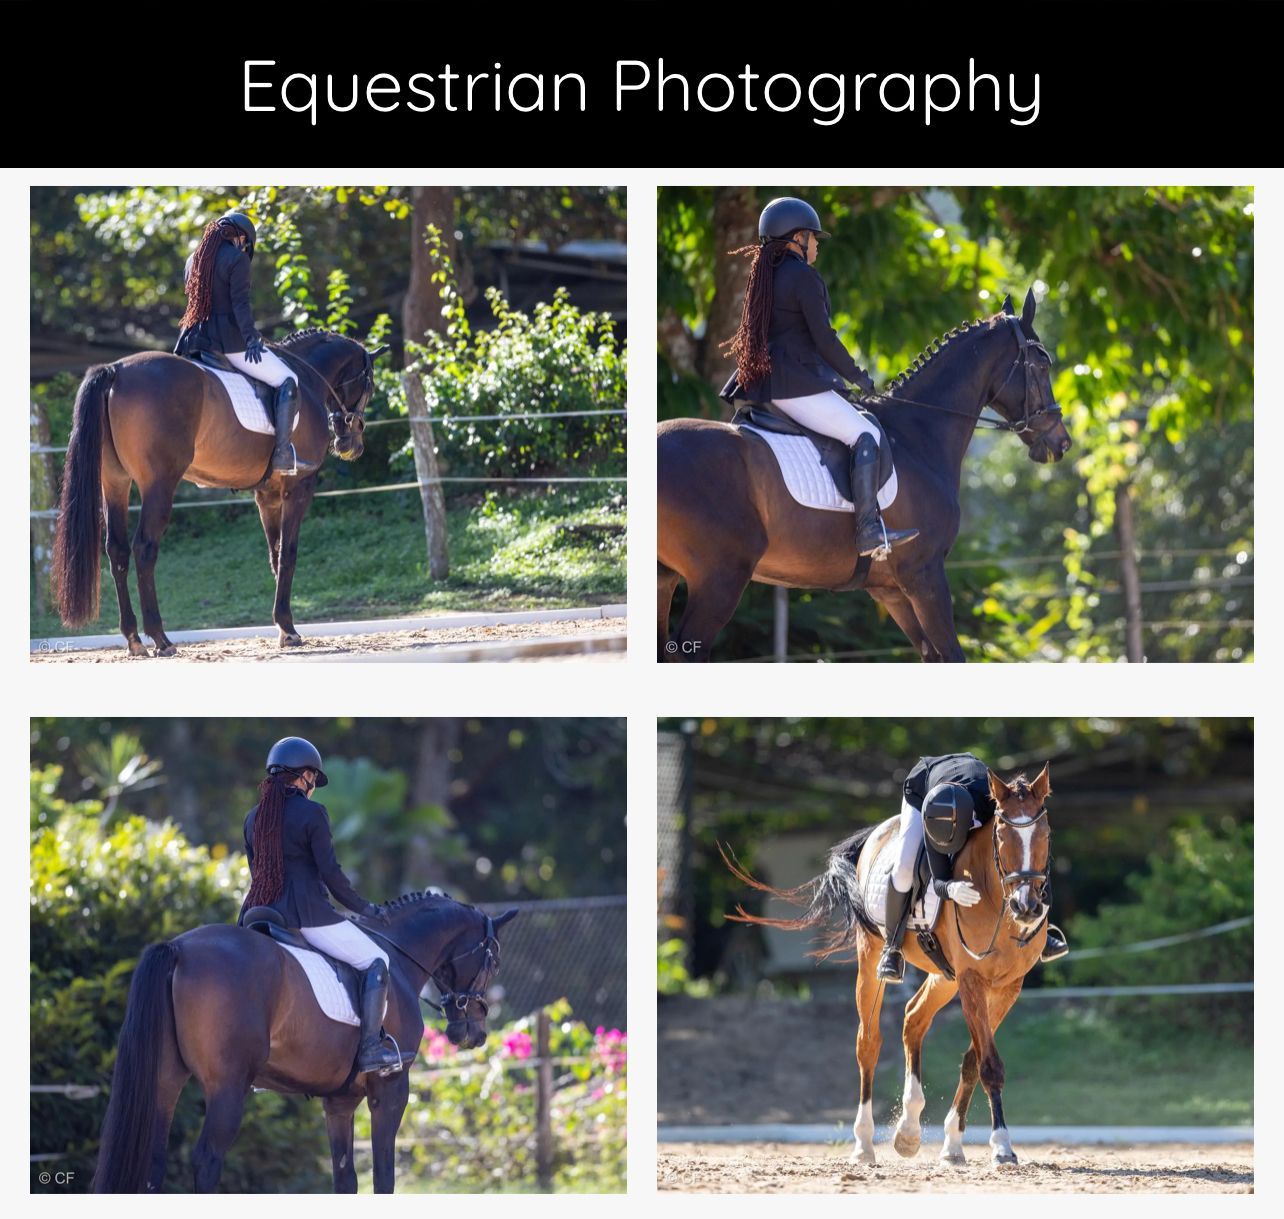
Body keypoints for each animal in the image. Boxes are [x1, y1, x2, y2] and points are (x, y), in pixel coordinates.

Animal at [51, 330, 388, 656]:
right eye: (369, 385)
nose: (350, 445)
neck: (307, 377)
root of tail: (117, 370)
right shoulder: (298, 488)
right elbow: (289, 554)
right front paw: (290, 630)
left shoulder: (267, 495)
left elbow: (274, 553)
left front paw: (282, 628)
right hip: (159, 484)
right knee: (144, 548)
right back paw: (161, 639)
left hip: (115, 481)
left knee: (117, 550)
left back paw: (134, 640)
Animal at [92, 893, 517, 1193]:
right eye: (494, 963)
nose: (473, 1033)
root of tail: (179, 948)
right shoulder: (391, 1088)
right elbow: (384, 1177)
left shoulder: (340, 1101)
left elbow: (346, 1180)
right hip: (227, 1086)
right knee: (207, 1160)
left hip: (166, 1080)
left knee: (154, 1160)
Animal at [657, 290, 1073, 661]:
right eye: (1042, 364)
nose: (1061, 441)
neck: (916, 435)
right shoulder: (925, 573)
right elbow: (953, 655)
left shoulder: (889, 588)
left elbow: (932, 655)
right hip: (721, 579)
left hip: (667, 577)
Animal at [722, 764, 1053, 1168]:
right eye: (1003, 835)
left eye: (1045, 833)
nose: (1027, 907)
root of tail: (878, 833)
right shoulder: (972, 979)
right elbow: (989, 1063)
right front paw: (1002, 1146)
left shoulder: (1007, 986)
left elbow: (974, 1060)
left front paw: (953, 1145)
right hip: (872, 961)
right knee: (868, 1043)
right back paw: (864, 1144)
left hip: (945, 977)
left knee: (913, 1018)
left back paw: (909, 1131)